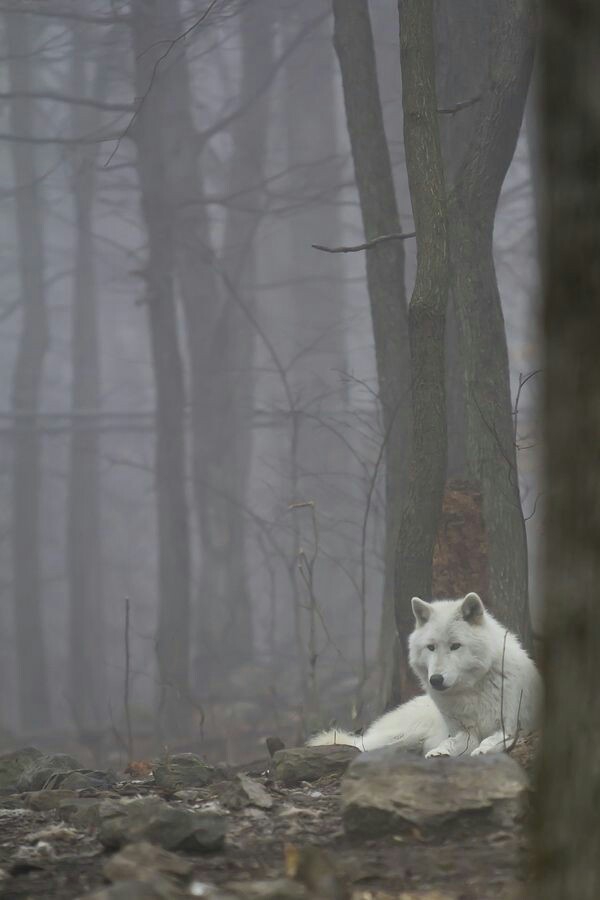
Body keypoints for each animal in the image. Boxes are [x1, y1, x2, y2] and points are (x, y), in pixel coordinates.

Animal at [307, 592, 541, 757]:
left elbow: (492, 740)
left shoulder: (512, 727)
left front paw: (483, 750)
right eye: (431, 647)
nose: (435, 680)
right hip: (399, 736)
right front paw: (440, 752)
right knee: (356, 744)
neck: (473, 691)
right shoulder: (463, 732)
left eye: (455, 646)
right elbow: (452, 742)